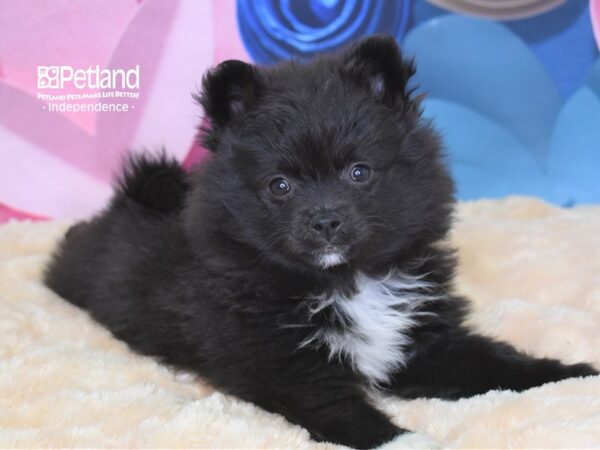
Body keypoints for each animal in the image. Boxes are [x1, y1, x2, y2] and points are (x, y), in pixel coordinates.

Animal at [44, 37, 596, 448]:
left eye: (359, 172)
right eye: (280, 186)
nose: (326, 220)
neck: (346, 280)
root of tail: (127, 199)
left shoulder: (421, 340)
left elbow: (494, 362)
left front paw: (573, 373)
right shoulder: (288, 369)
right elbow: (347, 412)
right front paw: (412, 441)